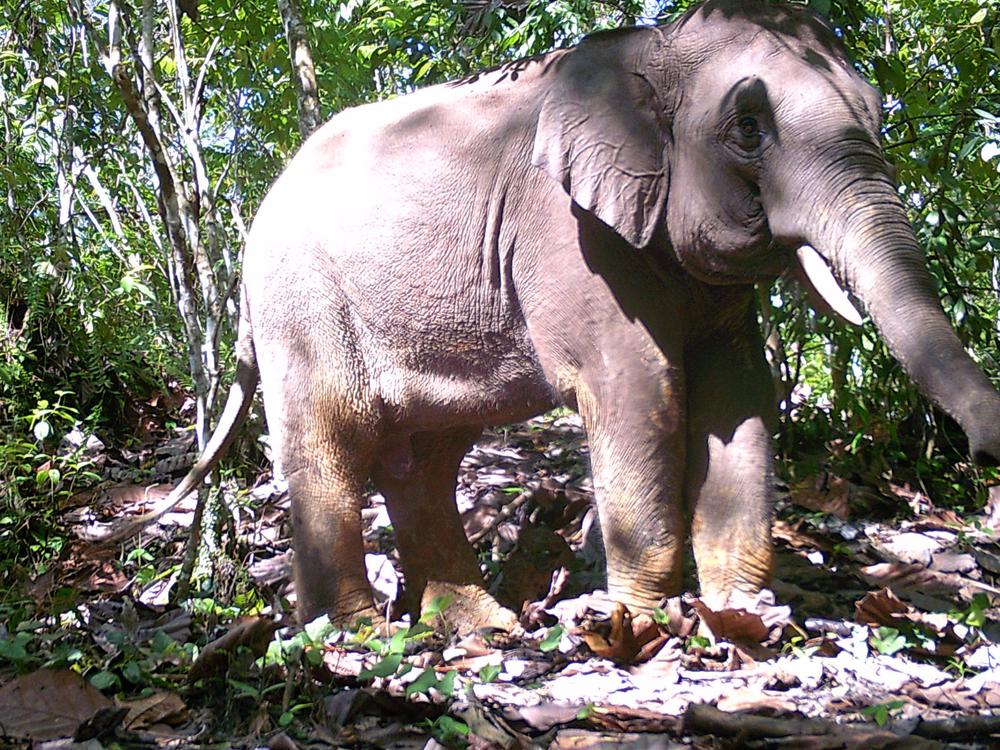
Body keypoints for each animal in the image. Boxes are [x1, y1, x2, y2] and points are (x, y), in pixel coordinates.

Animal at [119, 0, 1000, 630]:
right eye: (748, 128)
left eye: (879, 112)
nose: (985, 451)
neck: (649, 49)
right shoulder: (568, 237)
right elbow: (638, 386)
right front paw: (636, 625)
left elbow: (739, 393)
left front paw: (744, 620)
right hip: (302, 305)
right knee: (330, 444)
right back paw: (353, 638)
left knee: (425, 460)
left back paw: (480, 629)